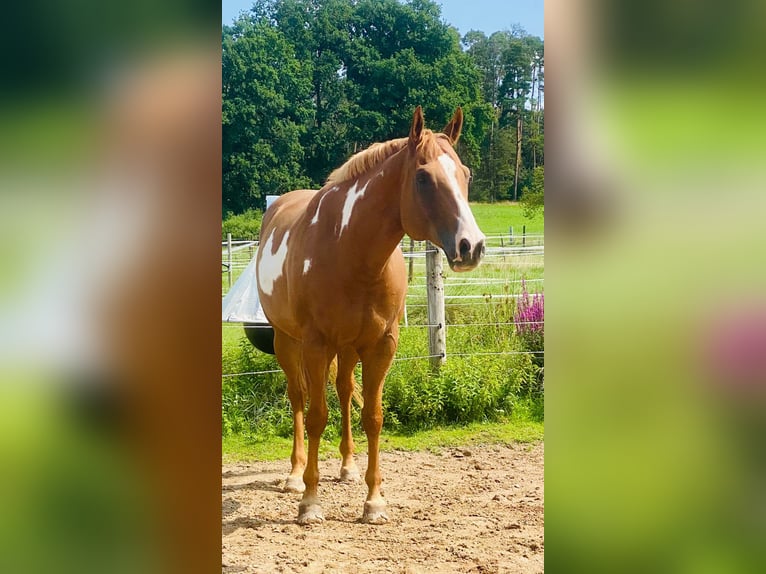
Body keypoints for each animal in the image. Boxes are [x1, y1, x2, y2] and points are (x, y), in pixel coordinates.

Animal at [255, 106, 486, 524]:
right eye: (423, 177)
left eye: (466, 174)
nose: (471, 246)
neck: (349, 249)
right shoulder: (315, 344)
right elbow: (316, 416)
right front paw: (310, 502)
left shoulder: (381, 345)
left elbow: (373, 416)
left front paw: (374, 500)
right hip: (288, 341)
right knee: (298, 399)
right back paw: (295, 475)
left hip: (347, 349)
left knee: (345, 392)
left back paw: (347, 467)